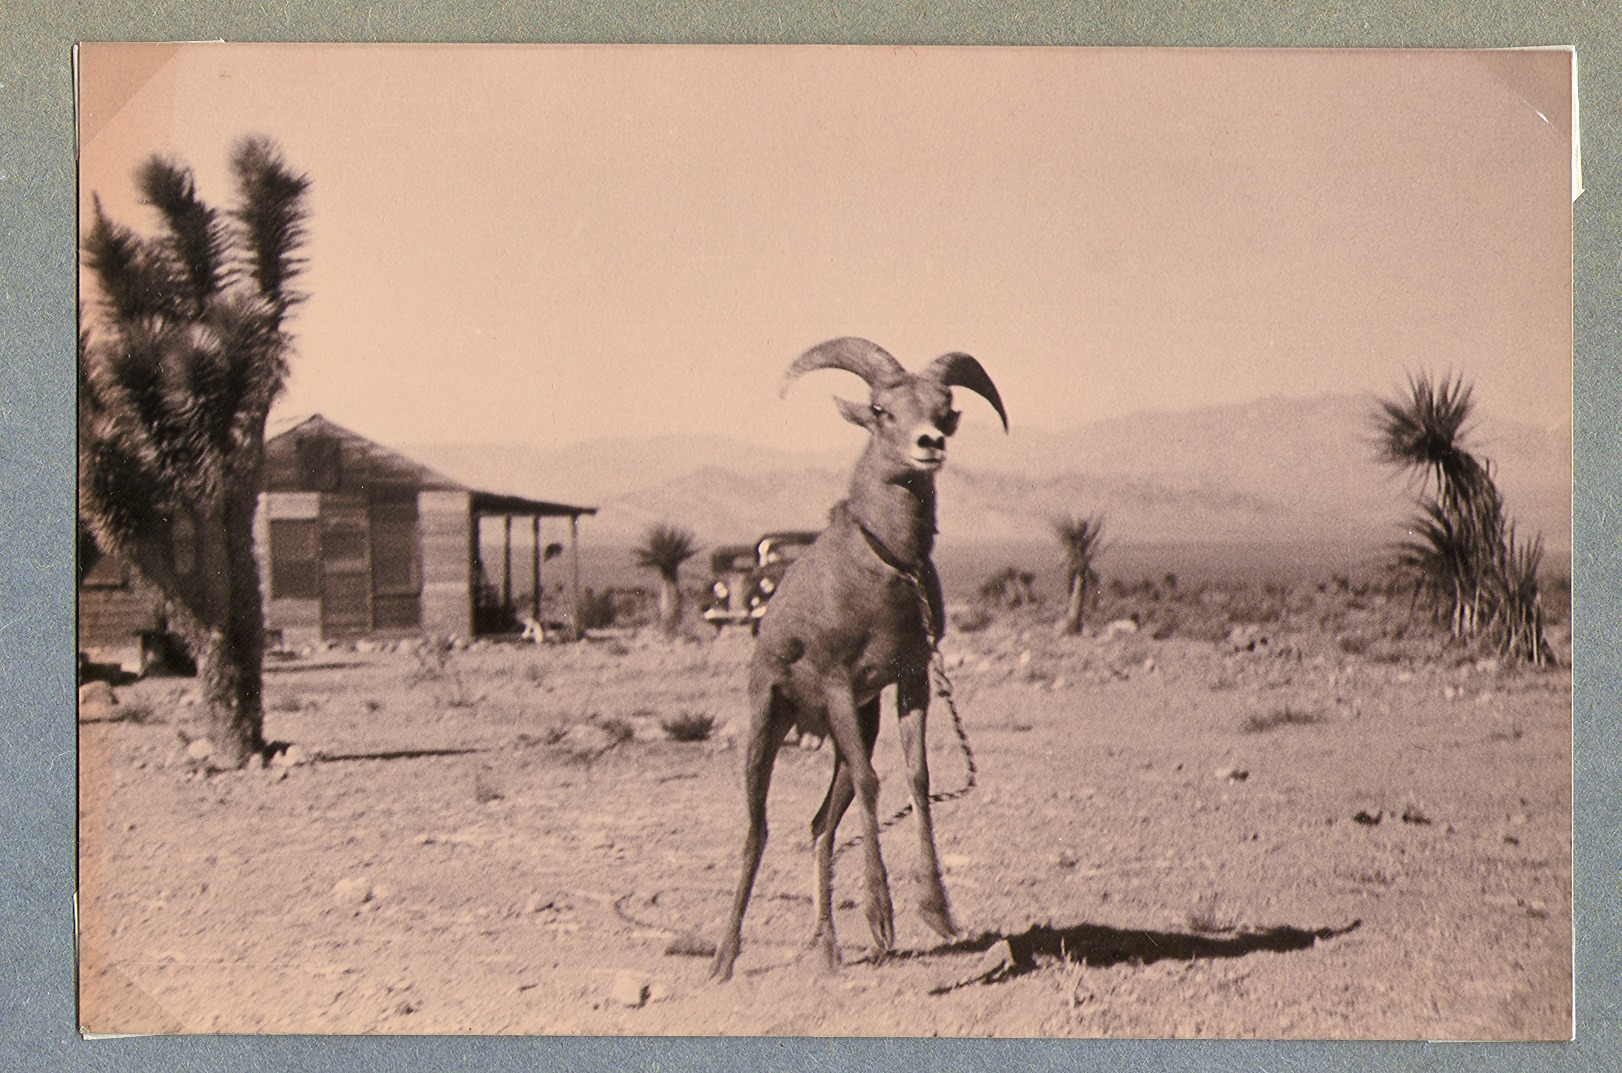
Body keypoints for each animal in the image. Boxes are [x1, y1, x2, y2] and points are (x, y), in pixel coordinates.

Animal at [710, 337, 999, 985]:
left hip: (849, 735)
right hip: (770, 729)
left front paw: (936, 914)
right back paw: (723, 959)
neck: (884, 564)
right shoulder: (839, 683)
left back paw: (829, 952)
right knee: (756, 833)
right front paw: (882, 920)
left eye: (945, 409)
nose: (929, 444)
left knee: (821, 825)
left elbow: (916, 777)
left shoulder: (908, 683)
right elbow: (875, 783)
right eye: (880, 410)